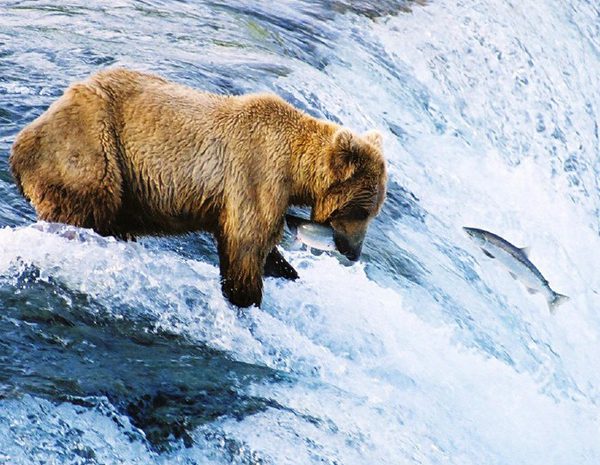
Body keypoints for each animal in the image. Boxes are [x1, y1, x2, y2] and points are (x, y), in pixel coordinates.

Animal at [10, 68, 390, 308]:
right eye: (361, 211)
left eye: (372, 212)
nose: (354, 252)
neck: (296, 170)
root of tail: (21, 142)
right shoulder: (256, 174)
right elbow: (245, 243)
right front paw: (247, 296)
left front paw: (286, 270)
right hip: (94, 149)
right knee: (81, 204)